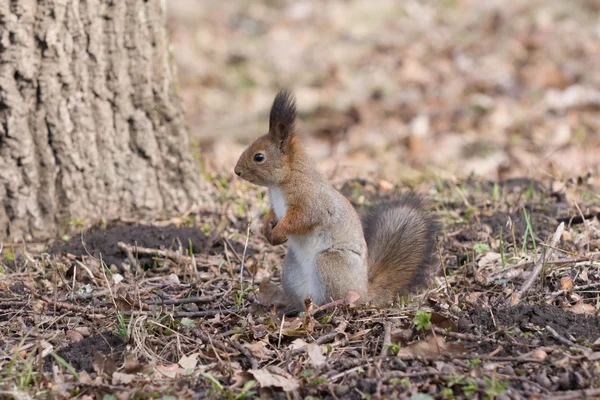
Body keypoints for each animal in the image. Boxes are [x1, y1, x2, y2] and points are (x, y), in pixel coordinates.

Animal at [233, 91, 436, 312]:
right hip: (291, 271)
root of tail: (365, 291)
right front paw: (266, 229)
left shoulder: (311, 201)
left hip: (330, 263)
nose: (237, 171)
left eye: (259, 157)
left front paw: (278, 232)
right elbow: (272, 213)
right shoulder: (276, 206)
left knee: (345, 300)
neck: (281, 183)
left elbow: (302, 219)